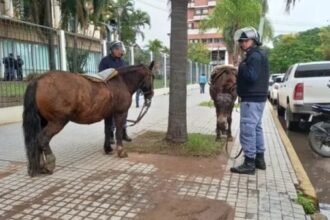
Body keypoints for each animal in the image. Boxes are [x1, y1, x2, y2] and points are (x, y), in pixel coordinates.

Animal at [23, 62, 155, 177]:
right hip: (57, 122)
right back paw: (50, 164)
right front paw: (121, 151)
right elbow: (117, 132)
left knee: (36, 140)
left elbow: (107, 130)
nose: (150, 95)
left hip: (43, 121)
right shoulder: (120, 113)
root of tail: (38, 80)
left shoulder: (108, 114)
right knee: (43, 139)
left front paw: (107, 148)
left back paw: (40, 166)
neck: (121, 81)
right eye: (152, 77)